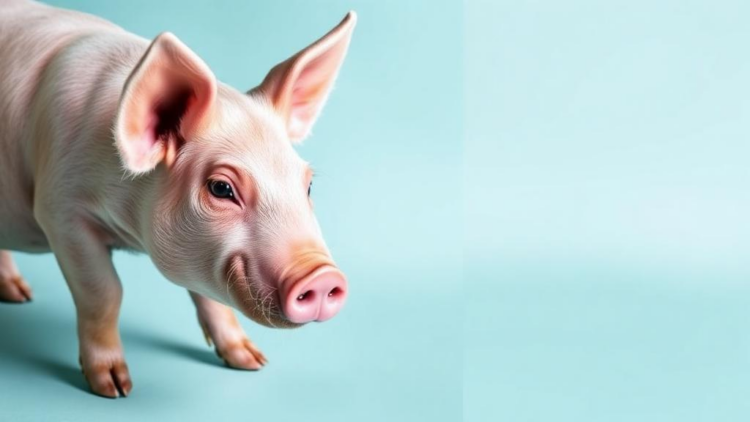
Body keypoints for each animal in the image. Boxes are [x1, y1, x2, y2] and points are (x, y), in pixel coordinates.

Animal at [0, 0, 355, 398]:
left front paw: (251, 361)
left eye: (307, 185)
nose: (321, 275)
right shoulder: (60, 212)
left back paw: (18, 295)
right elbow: (104, 292)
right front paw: (115, 388)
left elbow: (209, 297)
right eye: (221, 188)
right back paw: (24, 297)